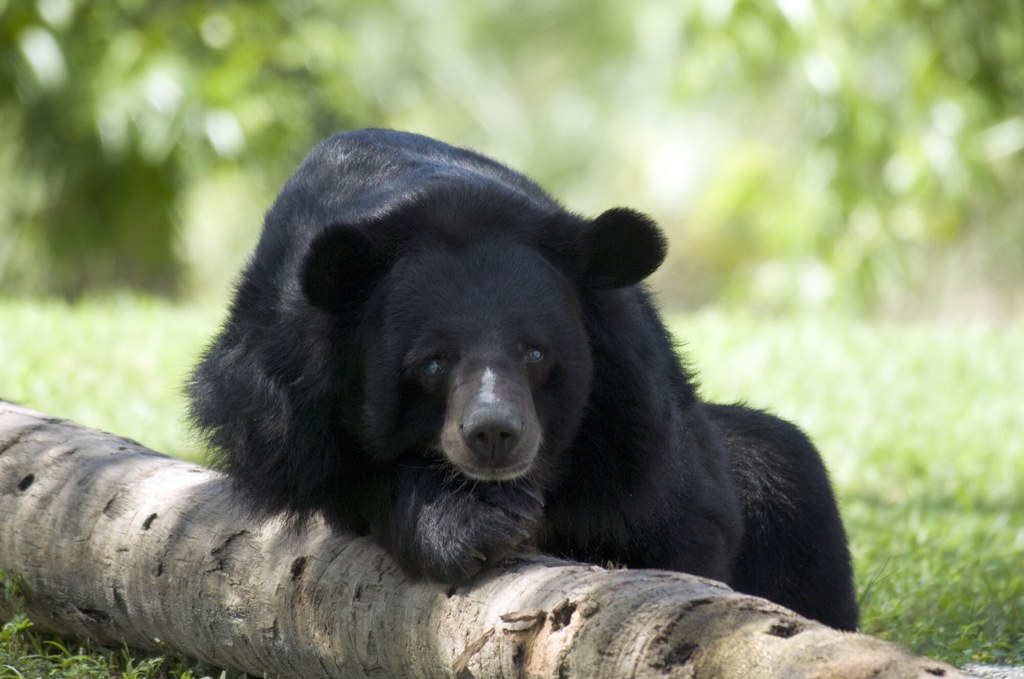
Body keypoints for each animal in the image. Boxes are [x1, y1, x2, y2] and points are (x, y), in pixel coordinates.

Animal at [188, 129, 860, 630]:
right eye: (432, 362)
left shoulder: (631, 407)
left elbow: (683, 514)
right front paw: (471, 521)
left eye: (535, 352)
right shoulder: (279, 398)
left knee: (784, 473)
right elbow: (342, 470)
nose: (494, 434)